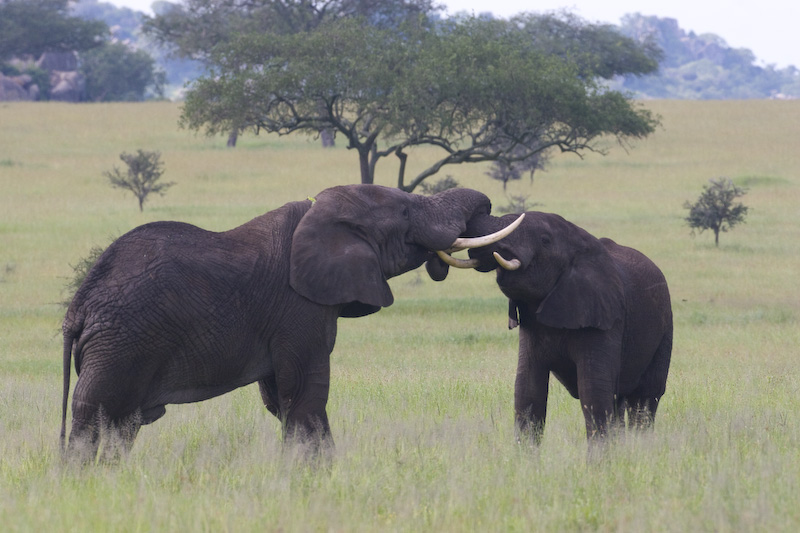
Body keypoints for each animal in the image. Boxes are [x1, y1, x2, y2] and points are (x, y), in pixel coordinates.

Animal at [61, 185, 520, 460]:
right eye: (406, 211)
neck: (320, 216)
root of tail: (77, 307)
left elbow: (280, 399)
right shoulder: (298, 306)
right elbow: (304, 393)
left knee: (120, 425)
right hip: (120, 344)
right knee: (93, 415)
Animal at [440, 212, 672, 444]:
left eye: (545, 240)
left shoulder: (605, 318)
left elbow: (594, 392)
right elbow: (528, 391)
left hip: (665, 327)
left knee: (645, 399)